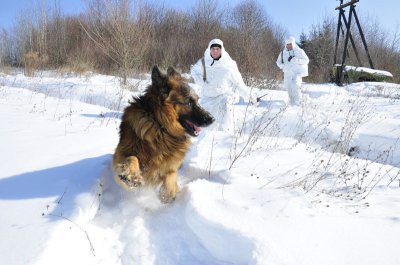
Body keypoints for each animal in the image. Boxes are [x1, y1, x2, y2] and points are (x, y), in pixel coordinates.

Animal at [111, 65, 214, 202]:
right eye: (188, 102)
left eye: (197, 101)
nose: (212, 119)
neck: (161, 128)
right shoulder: (120, 154)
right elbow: (131, 158)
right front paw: (132, 176)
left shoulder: (171, 166)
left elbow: (171, 175)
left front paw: (168, 193)